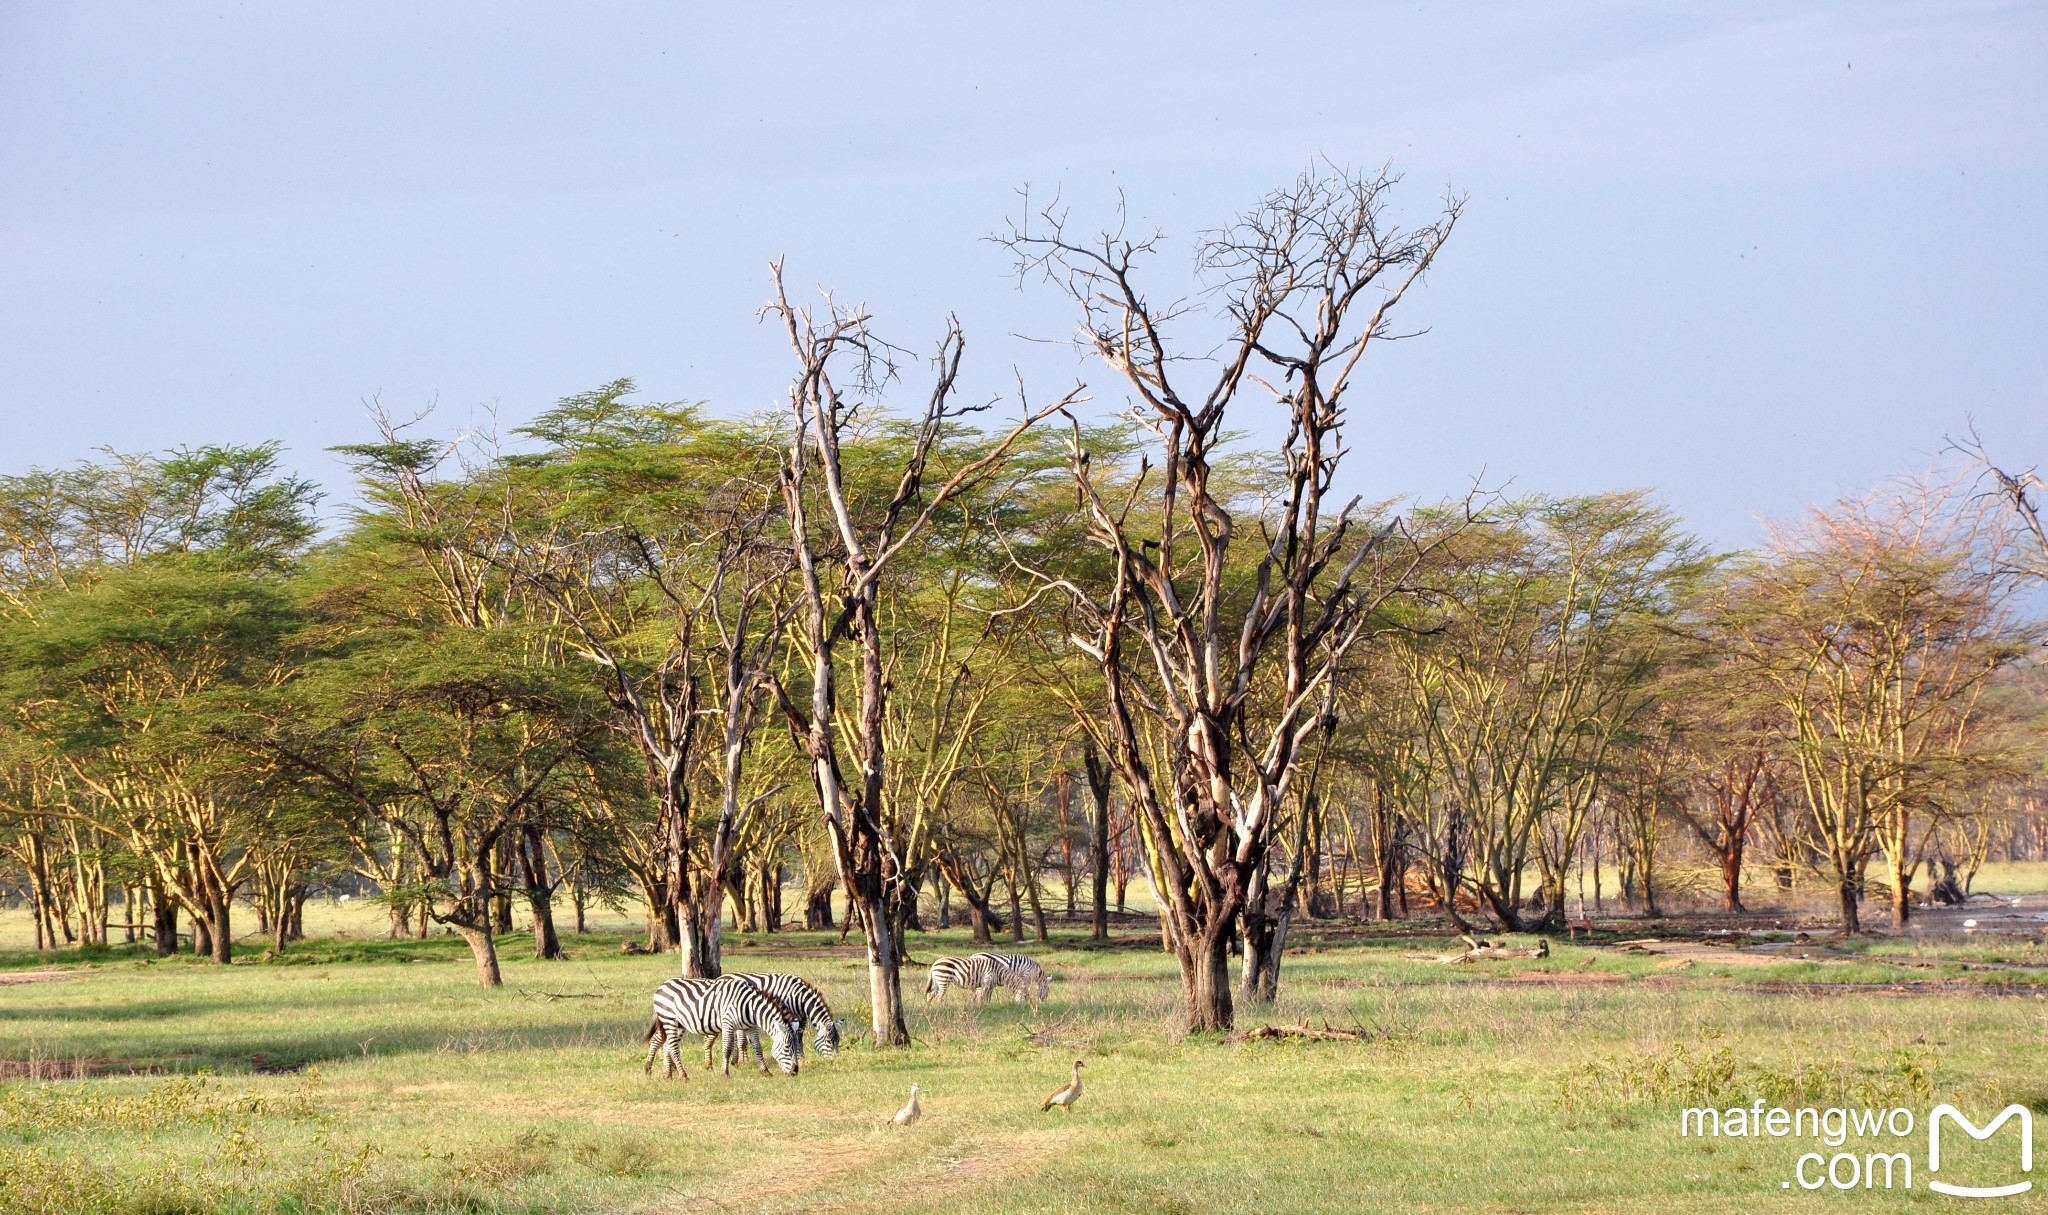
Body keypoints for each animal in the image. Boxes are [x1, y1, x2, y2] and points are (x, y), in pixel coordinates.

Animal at [643, 971, 802, 1073]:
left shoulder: (750, 1027)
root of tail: (663, 985)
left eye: (796, 1046)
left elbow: (758, 1048)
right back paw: (662, 1071)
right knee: (665, 1043)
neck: (750, 1007)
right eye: (787, 1047)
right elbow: (727, 1049)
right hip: (669, 1020)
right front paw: (725, 1073)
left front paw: (766, 1072)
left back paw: (668, 1073)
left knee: (666, 1043)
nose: (795, 1071)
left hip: (678, 1024)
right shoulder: (728, 1024)